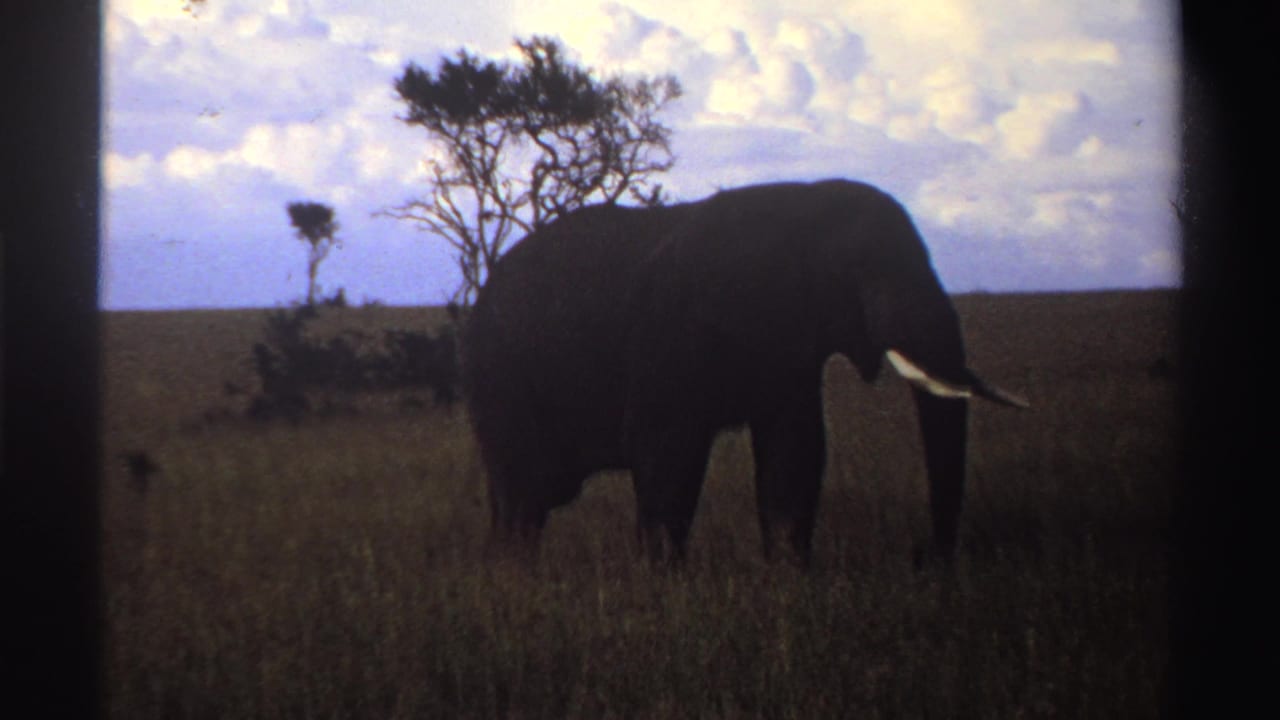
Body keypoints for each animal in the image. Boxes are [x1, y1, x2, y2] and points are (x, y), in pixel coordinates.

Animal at [462, 179, 1027, 565]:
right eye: (862, 273)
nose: (929, 557)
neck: (804, 205)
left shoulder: (790, 347)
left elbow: (795, 452)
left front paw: (789, 575)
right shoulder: (672, 331)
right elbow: (667, 455)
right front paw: (665, 585)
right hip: (499, 373)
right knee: (524, 494)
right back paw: (516, 577)